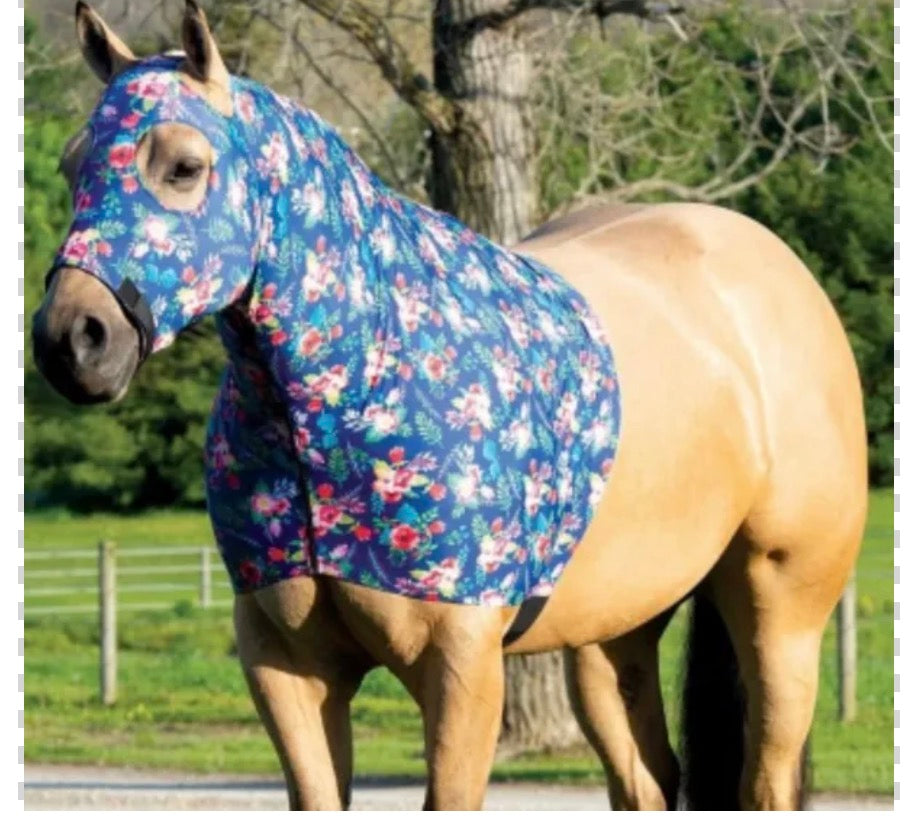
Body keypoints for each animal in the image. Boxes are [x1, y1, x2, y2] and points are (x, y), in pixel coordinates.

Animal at [32, 2, 867, 810]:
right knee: (645, 779)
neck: (353, 392)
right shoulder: (286, 666)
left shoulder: (461, 666)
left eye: (184, 167)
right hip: (612, 635)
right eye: (74, 166)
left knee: (765, 778)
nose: (72, 339)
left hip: (780, 615)